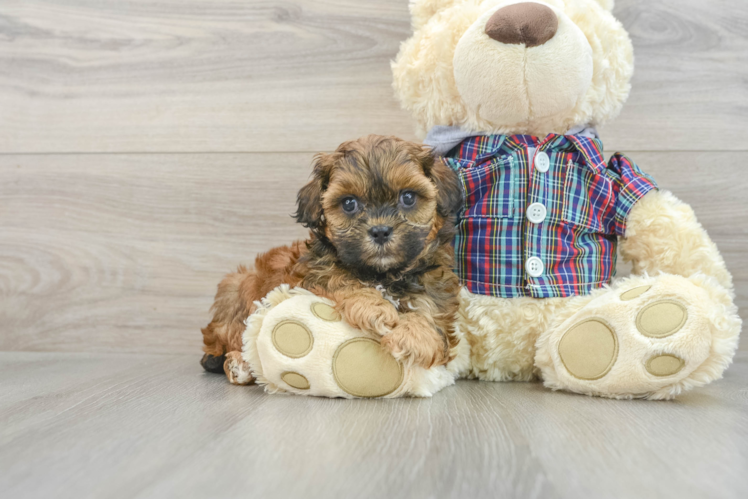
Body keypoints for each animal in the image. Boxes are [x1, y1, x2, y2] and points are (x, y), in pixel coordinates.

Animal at [202, 135, 464, 384]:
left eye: (408, 197)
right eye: (349, 203)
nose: (380, 231)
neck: (382, 274)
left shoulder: (434, 282)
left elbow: (432, 307)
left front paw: (417, 336)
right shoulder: (314, 275)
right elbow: (341, 280)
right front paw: (374, 307)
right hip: (239, 290)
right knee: (232, 338)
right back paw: (238, 365)